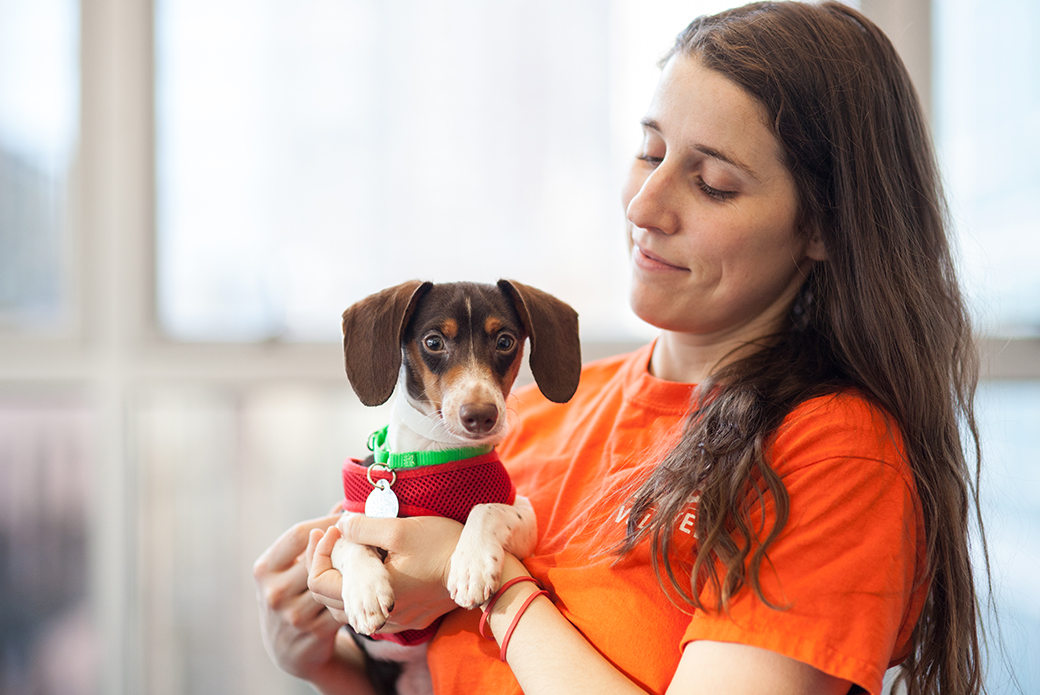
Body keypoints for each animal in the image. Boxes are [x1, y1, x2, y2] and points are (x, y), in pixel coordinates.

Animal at [328, 278, 582, 695]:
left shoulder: (525, 519)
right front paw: (365, 592)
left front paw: (472, 564)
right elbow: (346, 541)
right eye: (433, 342)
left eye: (505, 341)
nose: (480, 415)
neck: (439, 453)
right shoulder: (340, 521)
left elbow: (485, 508)